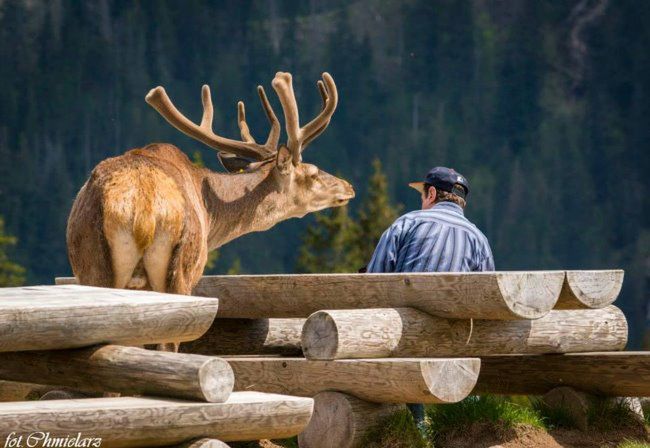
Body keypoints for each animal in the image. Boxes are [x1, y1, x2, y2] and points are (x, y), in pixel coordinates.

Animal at [67, 72, 354, 296]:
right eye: (313, 173)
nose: (348, 186)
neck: (212, 213)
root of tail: (144, 211)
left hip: (93, 265)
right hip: (179, 269)